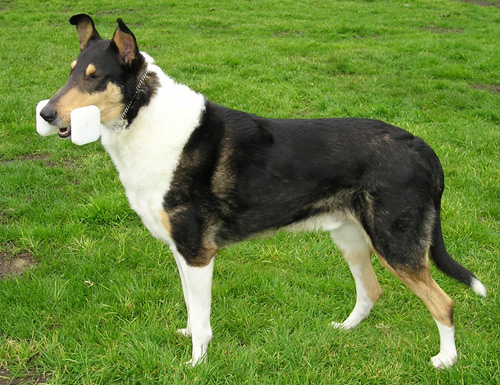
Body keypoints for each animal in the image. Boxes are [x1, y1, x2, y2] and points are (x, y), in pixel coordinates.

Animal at [41, 15, 486, 368]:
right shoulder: (181, 250)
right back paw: (344, 329)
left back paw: (445, 360)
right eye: (71, 71)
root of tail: (423, 148)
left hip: (395, 243)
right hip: (350, 236)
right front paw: (187, 338)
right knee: (371, 290)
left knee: (443, 302)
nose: (46, 113)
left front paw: (196, 365)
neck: (142, 118)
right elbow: (191, 310)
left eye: (95, 77)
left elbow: (202, 318)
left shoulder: (197, 251)